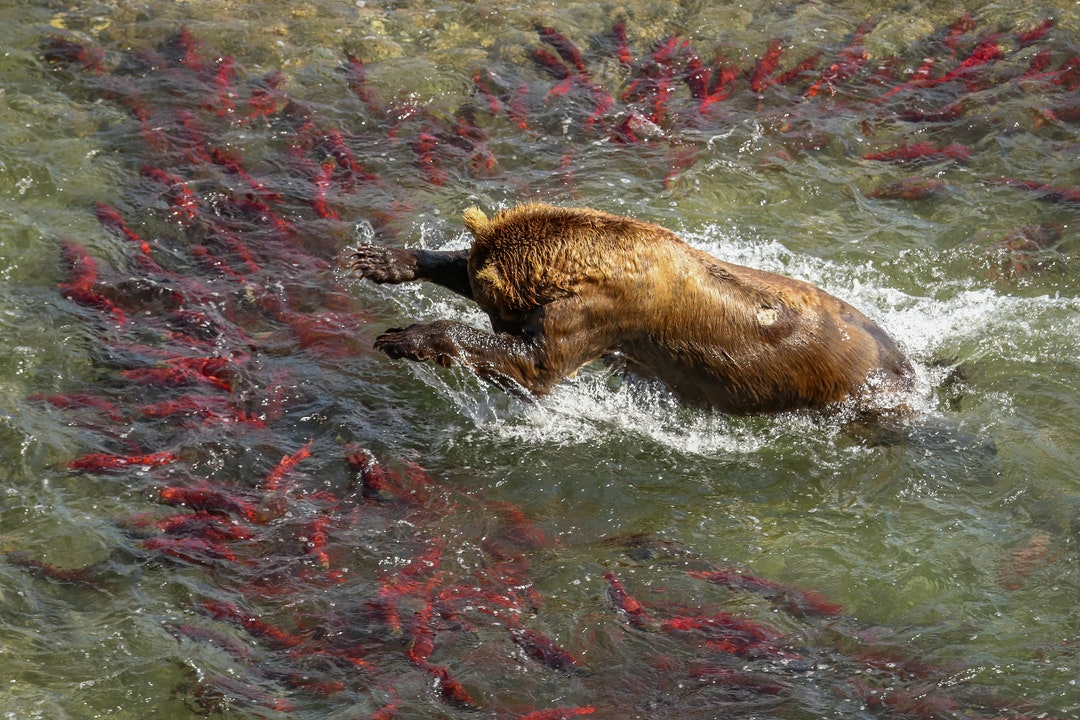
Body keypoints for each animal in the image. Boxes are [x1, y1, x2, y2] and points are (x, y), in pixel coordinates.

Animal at [351, 203, 912, 415]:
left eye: (499, 315)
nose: (505, 321)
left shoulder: (599, 314)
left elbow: (537, 363)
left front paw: (404, 337)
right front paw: (383, 259)